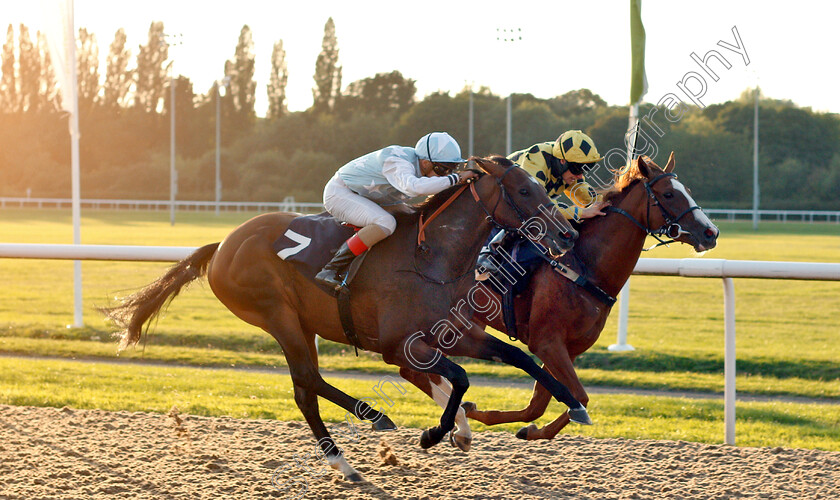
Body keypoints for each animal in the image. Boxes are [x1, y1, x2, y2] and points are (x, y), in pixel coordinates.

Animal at [103, 155, 592, 480]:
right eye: (525, 190)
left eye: (543, 187)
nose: (567, 234)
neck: (431, 258)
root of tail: (222, 245)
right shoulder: (399, 345)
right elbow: (461, 378)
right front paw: (434, 433)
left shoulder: (460, 332)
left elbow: (519, 358)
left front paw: (575, 404)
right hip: (277, 316)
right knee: (305, 384)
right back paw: (362, 431)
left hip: (301, 324)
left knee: (308, 384)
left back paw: (366, 434)